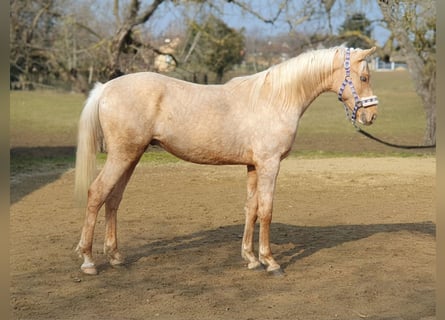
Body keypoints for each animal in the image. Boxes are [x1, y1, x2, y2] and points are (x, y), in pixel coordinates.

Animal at [74, 47, 376, 276]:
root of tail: (105, 88)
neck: (275, 98)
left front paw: (251, 258)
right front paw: (270, 262)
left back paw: (115, 256)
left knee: (113, 200)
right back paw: (88, 261)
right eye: (363, 76)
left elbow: (251, 209)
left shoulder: (253, 166)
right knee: (96, 194)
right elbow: (266, 210)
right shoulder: (269, 164)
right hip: (122, 156)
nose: (371, 116)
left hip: (131, 156)